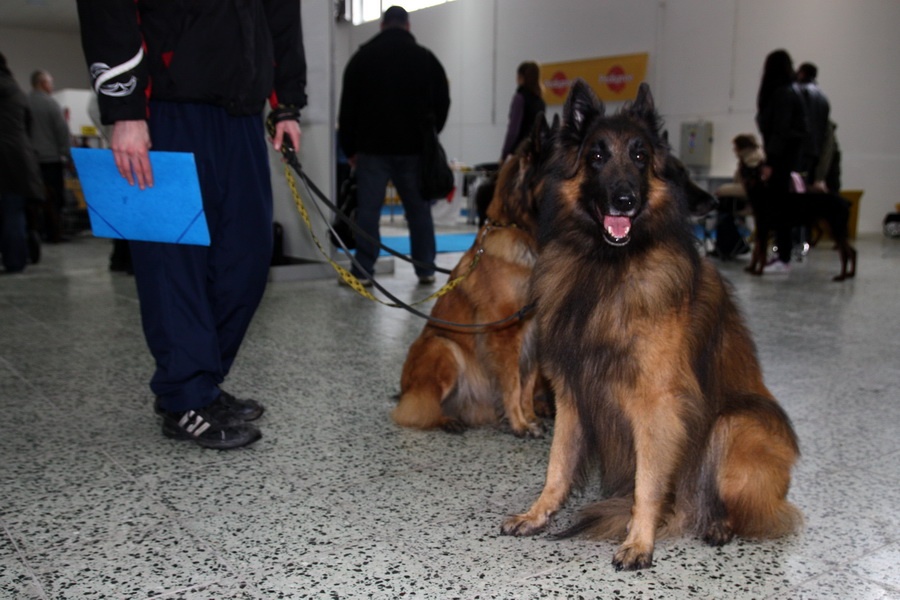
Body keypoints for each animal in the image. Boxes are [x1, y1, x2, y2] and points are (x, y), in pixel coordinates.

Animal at [396, 116, 556, 436]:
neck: (520, 230)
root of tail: (404, 388)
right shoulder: (506, 332)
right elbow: (512, 383)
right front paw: (519, 423)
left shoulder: (534, 334)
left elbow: (527, 383)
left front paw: (530, 418)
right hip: (444, 348)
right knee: (418, 409)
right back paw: (446, 420)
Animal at [500, 82, 800, 568]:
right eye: (597, 155)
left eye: (640, 156)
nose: (625, 200)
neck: (607, 266)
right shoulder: (572, 392)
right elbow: (558, 466)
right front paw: (537, 514)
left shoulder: (656, 404)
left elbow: (647, 483)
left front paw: (639, 540)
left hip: (736, 423)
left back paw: (716, 523)